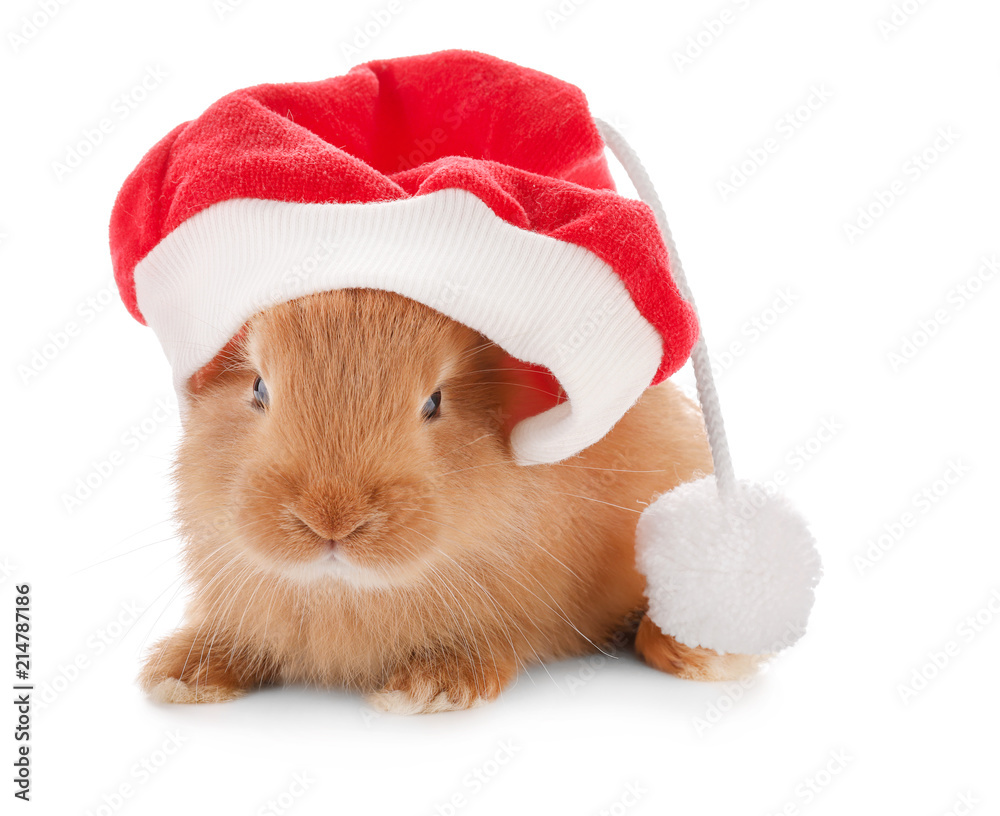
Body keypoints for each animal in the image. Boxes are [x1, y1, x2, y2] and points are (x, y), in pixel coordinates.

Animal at [137, 290, 752, 712]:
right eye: (259, 388)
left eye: (434, 402)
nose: (332, 518)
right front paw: (180, 675)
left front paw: (427, 690)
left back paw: (699, 653)